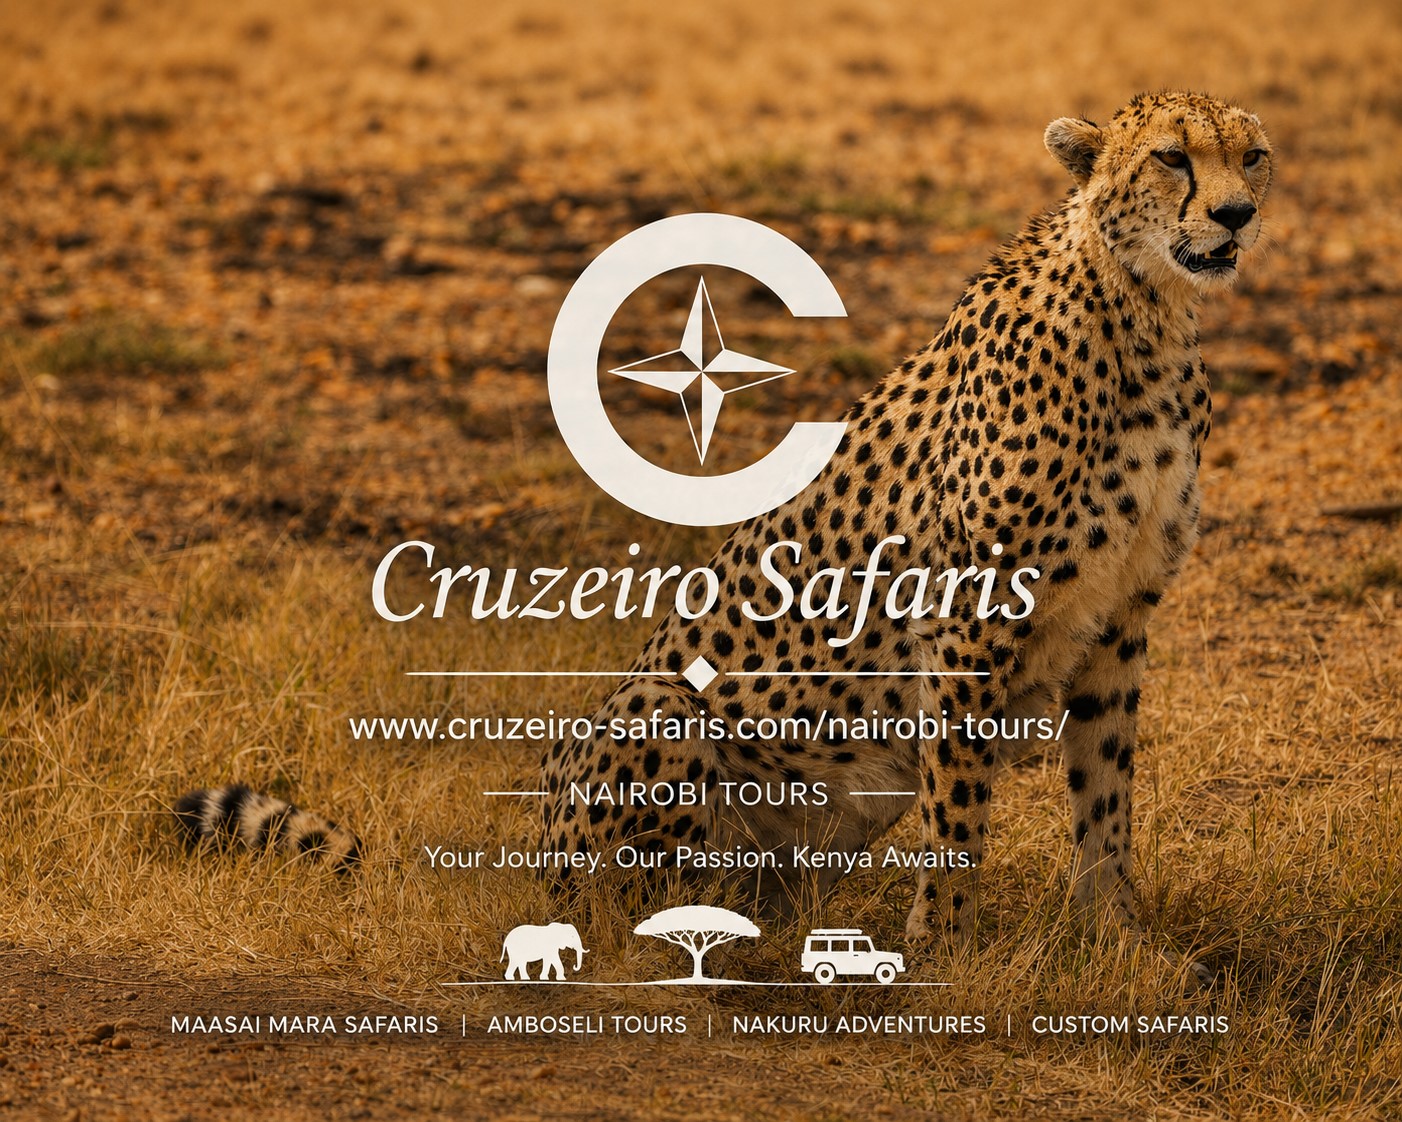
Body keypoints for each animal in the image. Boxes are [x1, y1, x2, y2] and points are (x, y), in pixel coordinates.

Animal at [541, 90, 1272, 957]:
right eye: (1172, 156)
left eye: (1253, 155)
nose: (1236, 214)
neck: (1143, 314)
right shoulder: (969, 615)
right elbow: (958, 801)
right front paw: (943, 946)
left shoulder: (1121, 611)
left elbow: (1105, 790)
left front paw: (1116, 934)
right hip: (658, 707)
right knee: (626, 915)